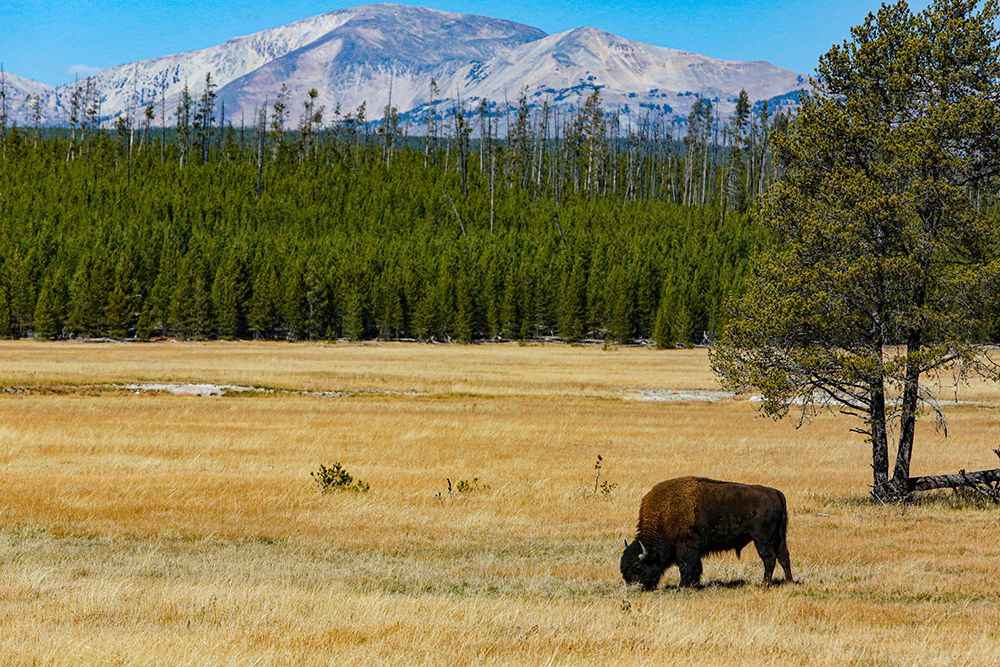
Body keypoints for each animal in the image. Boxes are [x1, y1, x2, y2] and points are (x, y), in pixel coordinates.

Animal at [620, 476, 793, 589]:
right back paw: (789, 582)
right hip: (779, 537)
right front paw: (694, 584)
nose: (633, 587)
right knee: (783, 556)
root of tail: (775, 492)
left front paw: (682, 586)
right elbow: (696, 567)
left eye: (637, 566)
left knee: (769, 558)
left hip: (762, 539)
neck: (664, 515)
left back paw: (764, 584)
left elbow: (686, 567)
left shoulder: (686, 548)